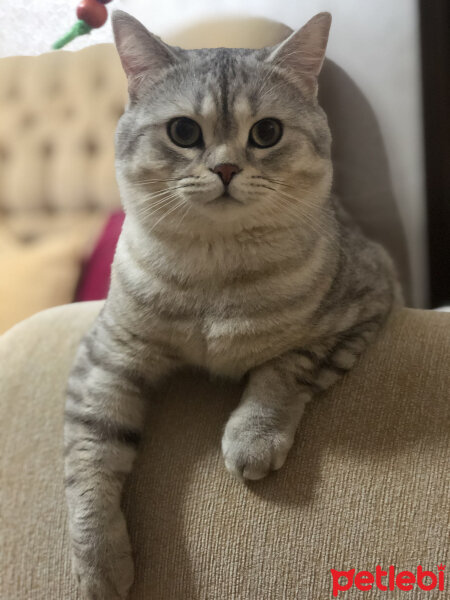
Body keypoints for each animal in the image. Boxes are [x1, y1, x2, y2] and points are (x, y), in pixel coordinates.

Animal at [64, 10, 400, 600]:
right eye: (183, 132)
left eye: (266, 133)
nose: (225, 169)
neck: (215, 274)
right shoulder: (107, 353)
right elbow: (91, 453)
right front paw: (99, 564)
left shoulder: (361, 306)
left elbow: (284, 369)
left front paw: (252, 439)